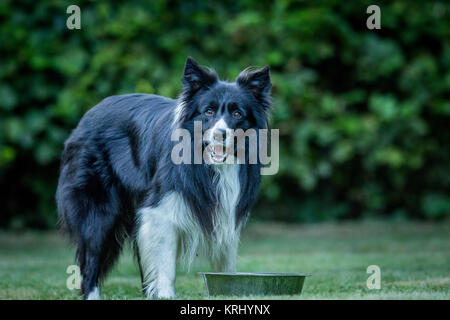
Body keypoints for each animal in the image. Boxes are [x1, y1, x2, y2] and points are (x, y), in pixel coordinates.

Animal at [57, 56, 274, 298]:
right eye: (208, 111)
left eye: (238, 114)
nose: (220, 134)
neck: (210, 165)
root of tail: (87, 115)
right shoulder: (160, 208)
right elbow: (164, 261)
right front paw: (165, 294)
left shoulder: (226, 210)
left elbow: (225, 261)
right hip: (98, 207)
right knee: (91, 254)